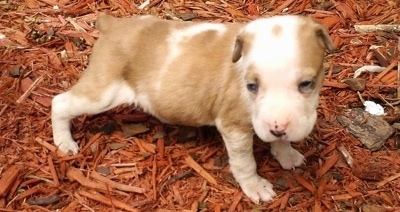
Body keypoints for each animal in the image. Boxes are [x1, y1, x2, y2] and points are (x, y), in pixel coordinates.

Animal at [51, 14, 332, 203]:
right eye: (252, 86)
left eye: (307, 84)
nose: (277, 127)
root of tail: (112, 24)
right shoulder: (234, 128)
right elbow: (245, 163)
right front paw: (256, 186)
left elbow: (282, 140)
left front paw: (286, 153)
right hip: (102, 93)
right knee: (60, 103)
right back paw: (64, 142)